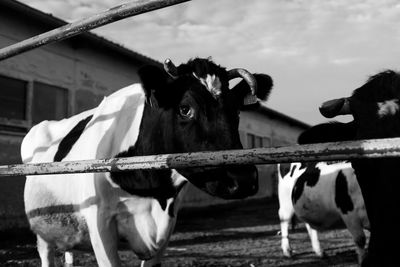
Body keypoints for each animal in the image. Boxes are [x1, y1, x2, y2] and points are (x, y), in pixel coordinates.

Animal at [20, 57, 274, 266]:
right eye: (185, 109)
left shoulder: (167, 224)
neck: (154, 191)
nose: (243, 179)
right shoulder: (99, 222)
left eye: (237, 111)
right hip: (42, 230)